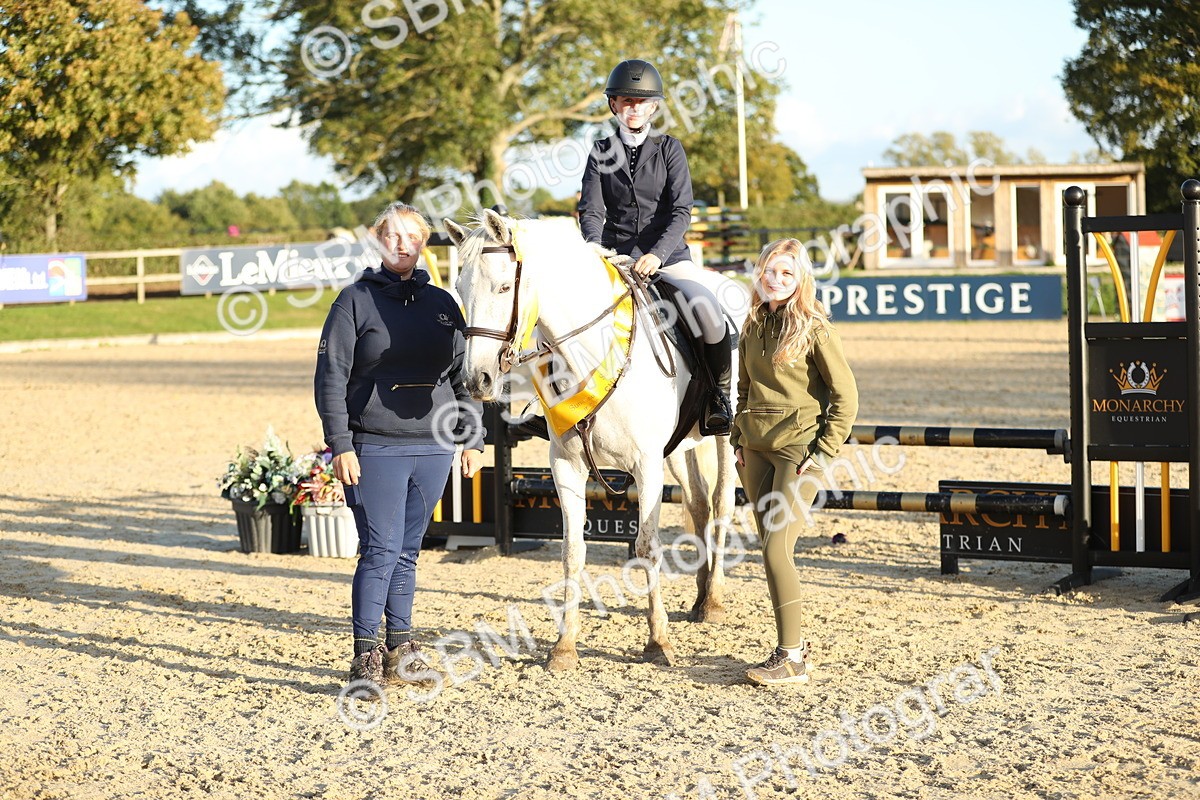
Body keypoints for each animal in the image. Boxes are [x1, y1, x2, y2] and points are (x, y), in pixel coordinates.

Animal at [445, 209, 748, 671]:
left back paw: (712, 600)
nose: (476, 381)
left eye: (503, 287)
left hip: (723, 438)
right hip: (679, 450)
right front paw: (564, 646)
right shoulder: (566, 466)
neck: (591, 350)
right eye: (460, 289)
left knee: (721, 505)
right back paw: (698, 598)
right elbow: (572, 551)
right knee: (697, 503)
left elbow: (646, 546)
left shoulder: (645, 465)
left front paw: (658, 641)